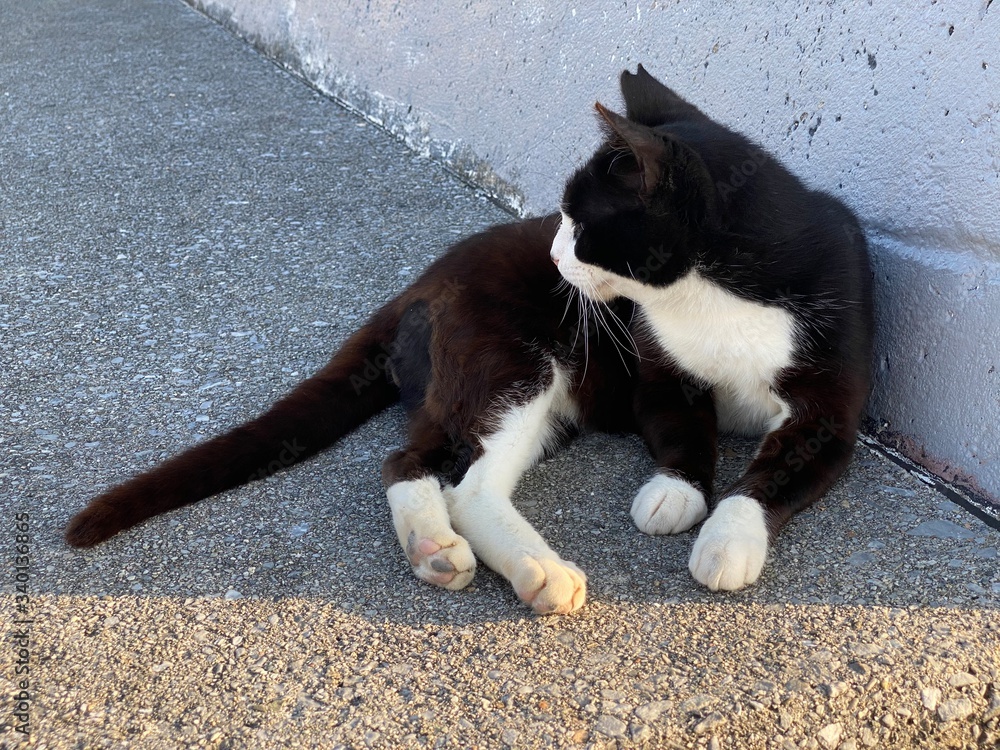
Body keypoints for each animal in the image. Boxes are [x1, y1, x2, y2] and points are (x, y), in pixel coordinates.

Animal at [66, 64, 872, 616]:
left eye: (580, 220)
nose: (553, 255)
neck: (713, 293)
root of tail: (421, 283)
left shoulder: (832, 404)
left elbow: (774, 469)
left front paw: (729, 538)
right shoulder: (658, 373)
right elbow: (682, 427)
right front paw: (678, 492)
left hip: (512, 390)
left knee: (418, 461)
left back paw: (439, 552)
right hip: (512, 359)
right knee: (463, 481)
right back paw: (536, 571)